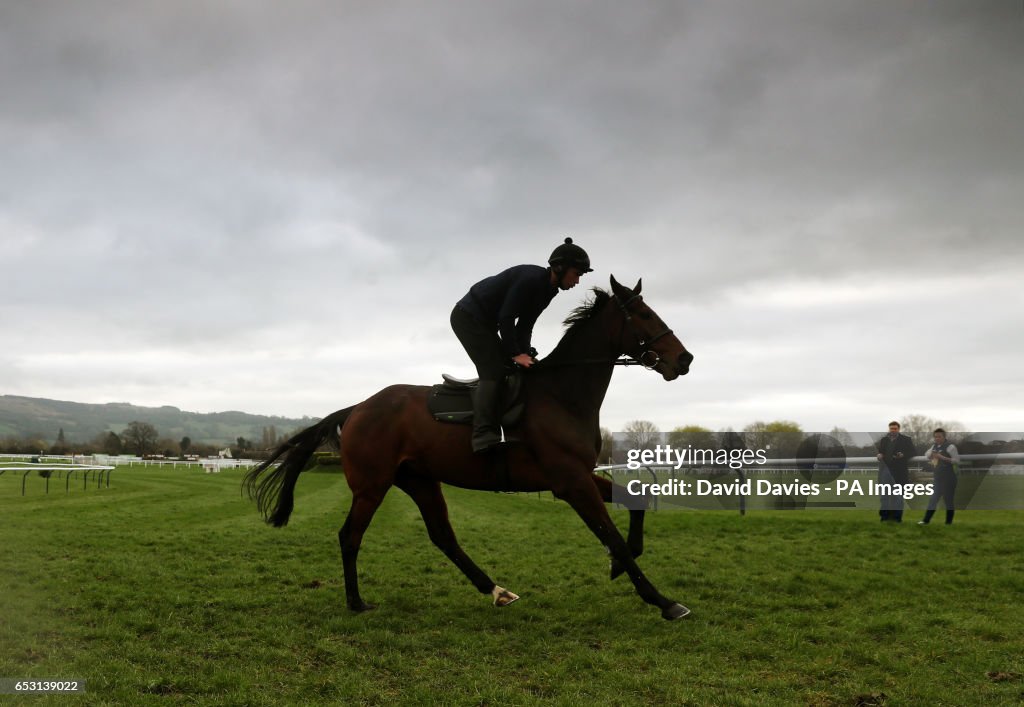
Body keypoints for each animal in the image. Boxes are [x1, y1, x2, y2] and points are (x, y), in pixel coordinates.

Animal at [243, 274, 696, 614]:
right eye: (643, 314)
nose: (685, 359)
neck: (562, 395)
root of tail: (357, 408)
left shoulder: (578, 476)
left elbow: (636, 502)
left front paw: (621, 566)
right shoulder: (570, 483)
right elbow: (611, 534)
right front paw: (662, 600)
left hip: (420, 480)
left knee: (443, 536)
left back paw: (497, 590)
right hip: (372, 485)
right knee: (349, 536)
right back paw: (356, 602)